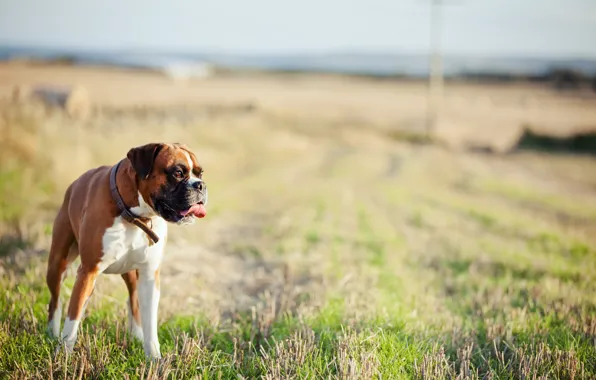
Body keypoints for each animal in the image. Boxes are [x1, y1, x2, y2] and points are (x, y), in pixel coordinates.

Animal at [44, 143, 207, 360]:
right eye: (178, 173)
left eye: (200, 173)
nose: (201, 185)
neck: (135, 216)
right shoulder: (88, 271)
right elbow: (72, 317)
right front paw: (63, 357)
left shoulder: (149, 276)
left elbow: (150, 323)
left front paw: (154, 359)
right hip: (57, 265)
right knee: (56, 301)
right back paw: (52, 333)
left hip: (130, 275)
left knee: (133, 303)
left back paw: (136, 335)